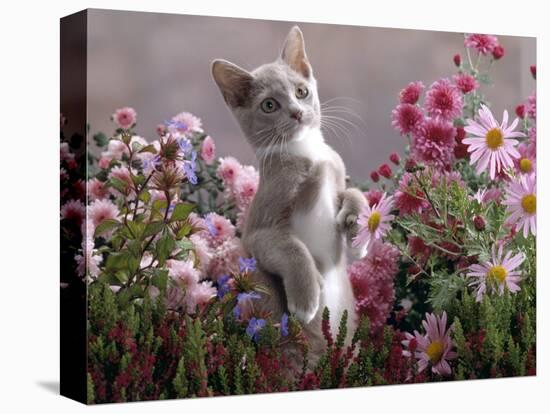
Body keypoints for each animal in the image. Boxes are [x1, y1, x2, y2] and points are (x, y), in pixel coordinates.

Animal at [213, 26, 368, 362]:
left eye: (301, 92)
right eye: (269, 105)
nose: (297, 113)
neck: (308, 155)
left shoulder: (336, 171)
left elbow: (352, 192)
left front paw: (358, 231)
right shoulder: (259, 230)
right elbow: (292, 247)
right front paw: (306, 298)